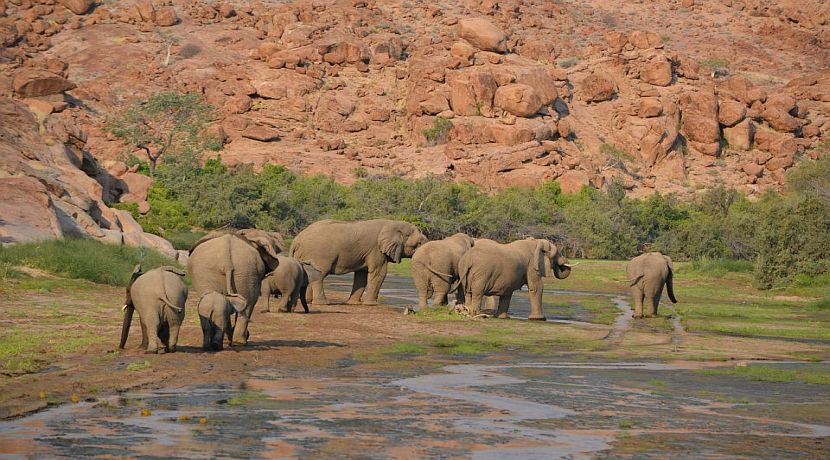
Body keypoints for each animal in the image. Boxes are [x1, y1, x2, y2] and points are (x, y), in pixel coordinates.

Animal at [290, 219, 428, 306]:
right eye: (418, 243)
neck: (392, 223)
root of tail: (296, 240)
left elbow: (361, 275)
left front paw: (354, 303)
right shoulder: (376, 250)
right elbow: (378, 273)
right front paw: (371, 304)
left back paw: (308, 301)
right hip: (319, 254)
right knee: (319, 275)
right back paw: (323, 303)